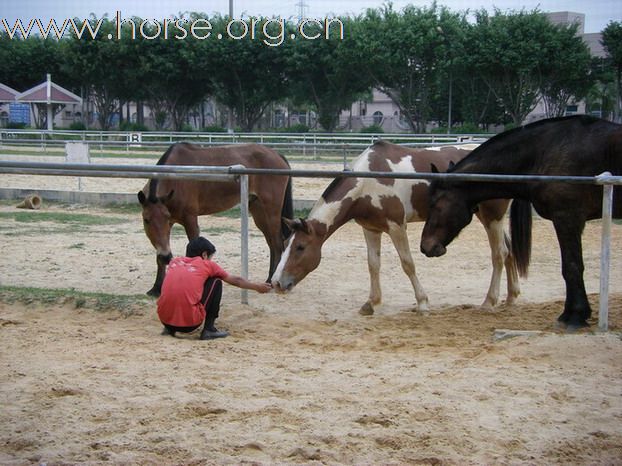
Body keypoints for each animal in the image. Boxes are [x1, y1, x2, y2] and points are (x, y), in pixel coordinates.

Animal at [138, 140, 294, 296]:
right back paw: (269, 279)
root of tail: (277, 154)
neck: (176, 178)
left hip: (271, 211)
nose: (166, 257)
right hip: (259, 212)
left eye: (165, 217)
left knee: (277, 243)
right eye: (146, 220)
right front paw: (156, 288)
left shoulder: (190, 219)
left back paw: (271, 282)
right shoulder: (169, 225)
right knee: (271, 243)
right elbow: (159, 256)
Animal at [272, 139, 520, 314]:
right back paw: (511, 297)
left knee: (499, 253)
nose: (276, 282)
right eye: (285, 243)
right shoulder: (370, 229)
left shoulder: (397, 226)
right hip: (489, 218)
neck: (368, 180)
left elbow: (407, 264)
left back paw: (489, 301)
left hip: (492, 216)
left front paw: (422, 303)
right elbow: (373, 265)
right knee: (509, 251)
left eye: (300, 247)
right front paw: (371, 303)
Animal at [422, 115, 620, 328]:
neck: (546, 152)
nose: (425, 246)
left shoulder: (567, 217)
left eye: (435, 204)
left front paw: (574, 315)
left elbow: (572, 266)